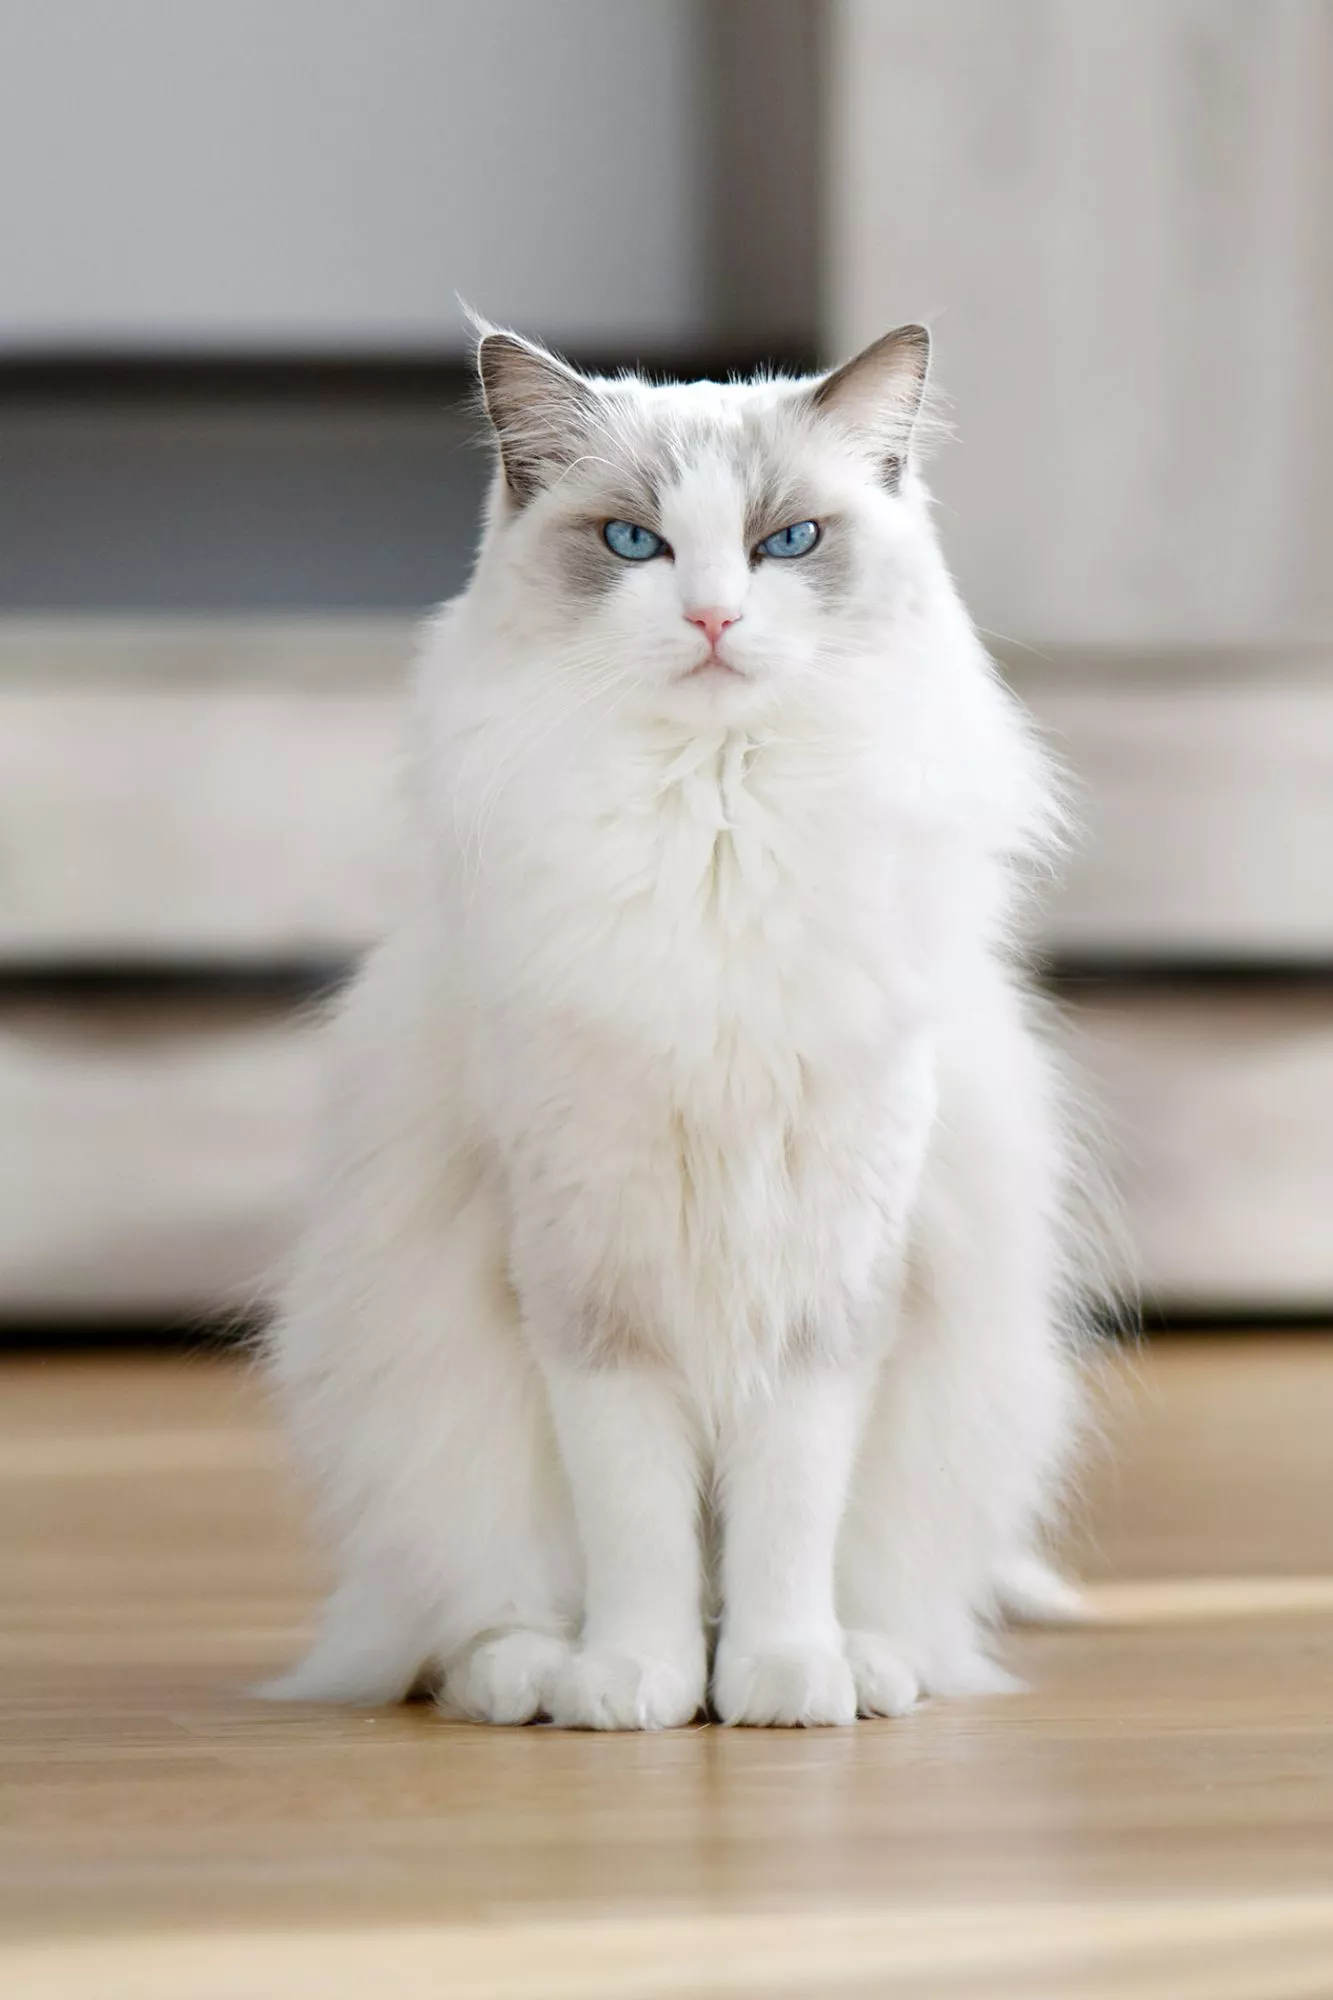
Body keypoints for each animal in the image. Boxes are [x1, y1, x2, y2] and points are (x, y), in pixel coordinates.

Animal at [264, 320, 1088, 1728]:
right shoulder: (594, 1289)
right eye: (632, 543)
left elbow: (784, 1519)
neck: (718, 839)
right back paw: (537, 1674)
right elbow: (639, 1523)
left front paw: (780, 1681)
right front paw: (635, 1684)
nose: (712, 615)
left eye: (788, 541)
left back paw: (869, 1666)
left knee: (896, 1598)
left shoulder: (827, 1286)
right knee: (459, 1627)